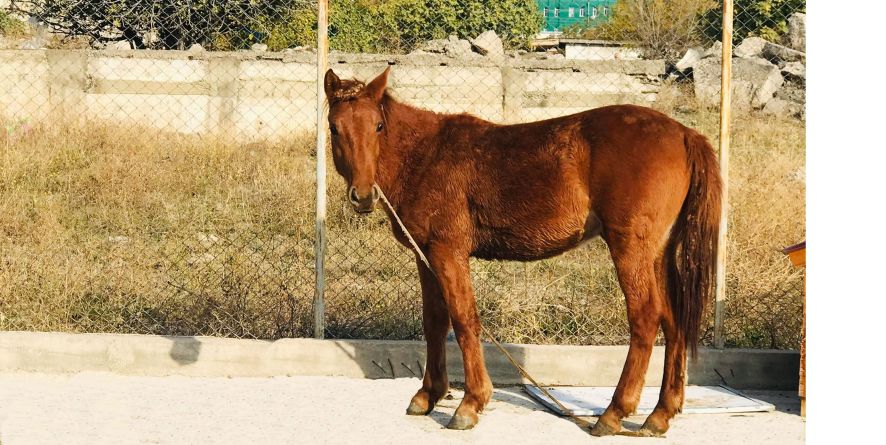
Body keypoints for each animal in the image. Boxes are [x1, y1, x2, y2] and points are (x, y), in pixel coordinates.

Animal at [324, 67, 720, 436]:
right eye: (334, 127)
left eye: (378, 125)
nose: (363, 196)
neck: (425, 156)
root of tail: (685, 134)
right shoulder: (426, 257)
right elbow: (435, 321)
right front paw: (428, 395)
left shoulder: (448, 253)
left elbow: (464, 320)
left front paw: (470, 403)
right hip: (658, 254)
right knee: (673, 320)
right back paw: (660, 414)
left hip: (631, 249)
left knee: (646, 318)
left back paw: (613, 412)